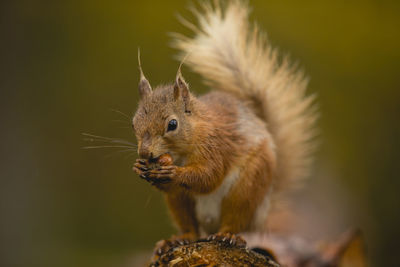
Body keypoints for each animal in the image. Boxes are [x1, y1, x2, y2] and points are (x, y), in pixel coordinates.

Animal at [133, 0, 318, 260]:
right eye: (134, 123)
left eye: (172, 124)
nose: (145, 153)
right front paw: (139, 167)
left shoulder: (217, 146)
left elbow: (209, 176)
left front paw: (174, 173)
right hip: (180, 201)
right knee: (191, 228)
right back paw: (177, 239)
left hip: (247, 188)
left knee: (235, 220)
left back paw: (227, 235)